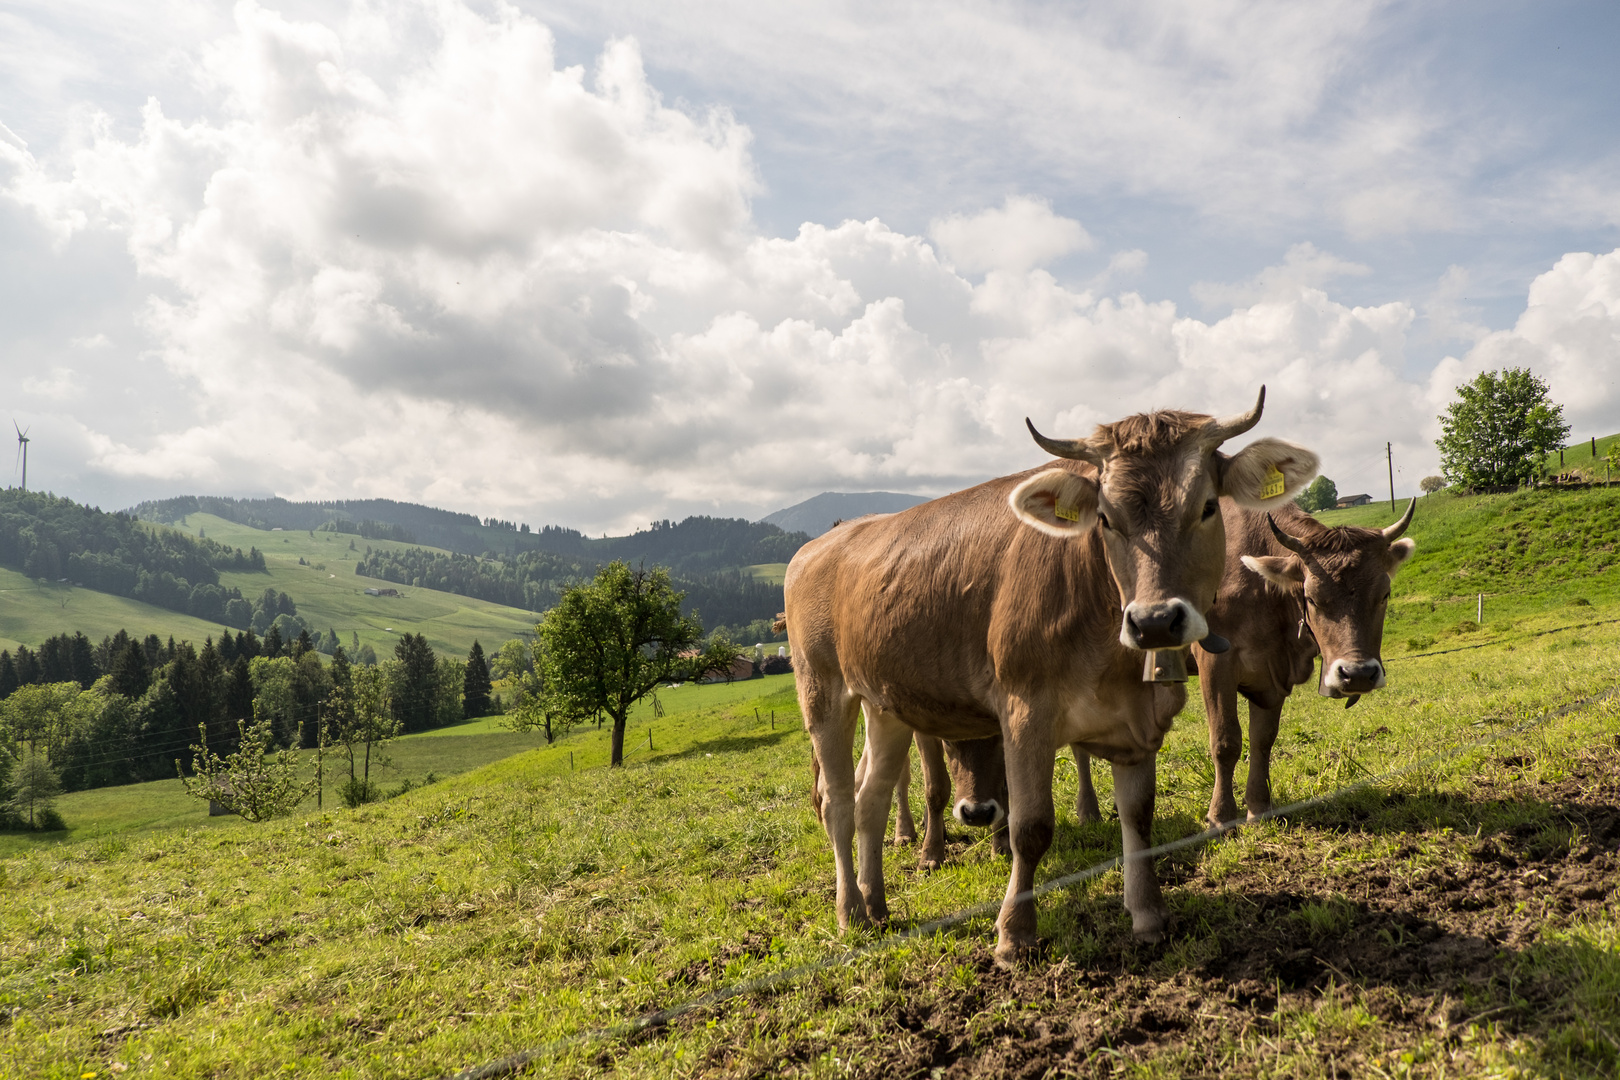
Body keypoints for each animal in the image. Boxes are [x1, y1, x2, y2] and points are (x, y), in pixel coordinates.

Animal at [780, 390, 1315, 965]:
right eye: (1105, 519)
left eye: (1208, 507)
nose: (1154, 621)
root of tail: (824, 541)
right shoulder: (1024, 711)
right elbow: (1030, 827)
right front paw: (1014, 934)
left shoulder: (1137, 723)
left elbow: (1139, 815)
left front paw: (1148, 915)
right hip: (823, 690)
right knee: (837, 802)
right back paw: (850, 912)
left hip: (887, 705)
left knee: (870, 801)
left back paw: (876, 904)